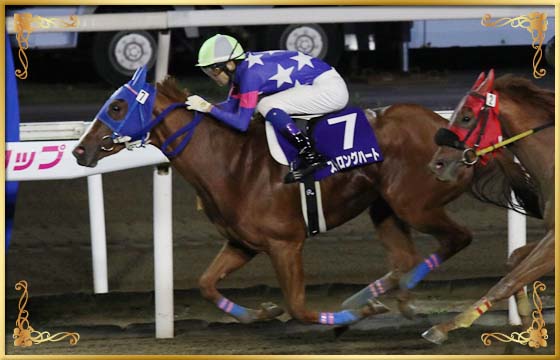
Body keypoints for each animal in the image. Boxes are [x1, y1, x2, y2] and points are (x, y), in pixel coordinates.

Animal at [73, 68, 532, 330]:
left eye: (117, 106)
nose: (79, 150)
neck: (229, 161)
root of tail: (455, 133)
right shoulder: (242, 243)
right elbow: (206, 284)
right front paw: (259, 313)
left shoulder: (285, 244)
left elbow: (299, 309)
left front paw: (357, 316)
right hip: (384, 206)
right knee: (404, 258)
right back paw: (379, 295)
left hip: (414, 204)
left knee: (456, 239)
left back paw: (387, 298)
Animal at [426, 69, 552, 344]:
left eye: (466, 117)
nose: (437, 164)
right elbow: (513, 262)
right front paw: (527, 320)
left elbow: (507, 281)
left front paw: (447, 325)